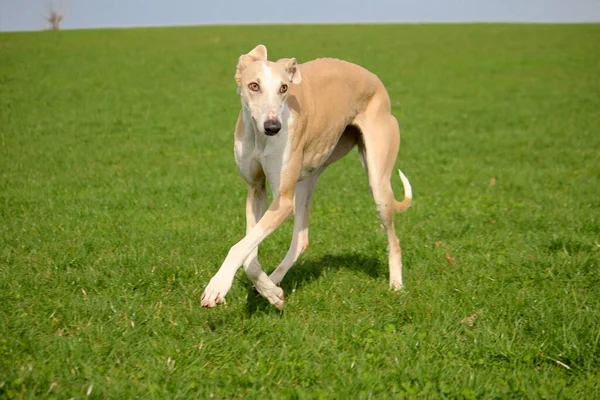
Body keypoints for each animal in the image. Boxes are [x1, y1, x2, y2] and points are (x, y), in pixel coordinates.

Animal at [202, 46, 412, 310]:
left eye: (284, 88)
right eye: (253, 85)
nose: (273, 127)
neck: (260, 138)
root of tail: (375, 79)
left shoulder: (282, 201)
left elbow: (240, 247)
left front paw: (217, 287)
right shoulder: (255, 189)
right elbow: (249, 251)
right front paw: (270, 291)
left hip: (378, 181)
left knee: (394, 240)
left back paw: (396, 285)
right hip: (307, 178)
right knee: (301, 239)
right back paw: (274, 281)